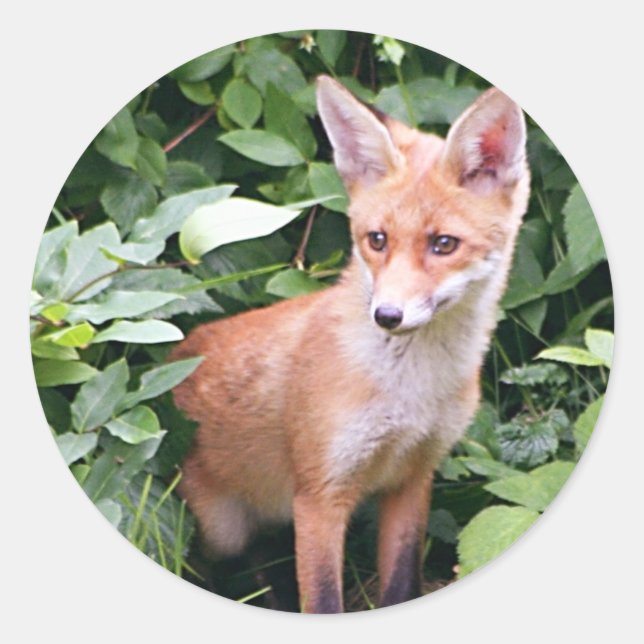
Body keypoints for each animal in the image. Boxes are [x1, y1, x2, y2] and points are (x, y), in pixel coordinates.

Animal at [170, 75, 530, 613]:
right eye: (376, 240)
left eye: (443, 244)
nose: (387, 316)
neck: (411, 394)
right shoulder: (320, 495)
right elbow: (323, 602)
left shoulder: (413, 478)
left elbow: (401, 585)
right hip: (223, 530)